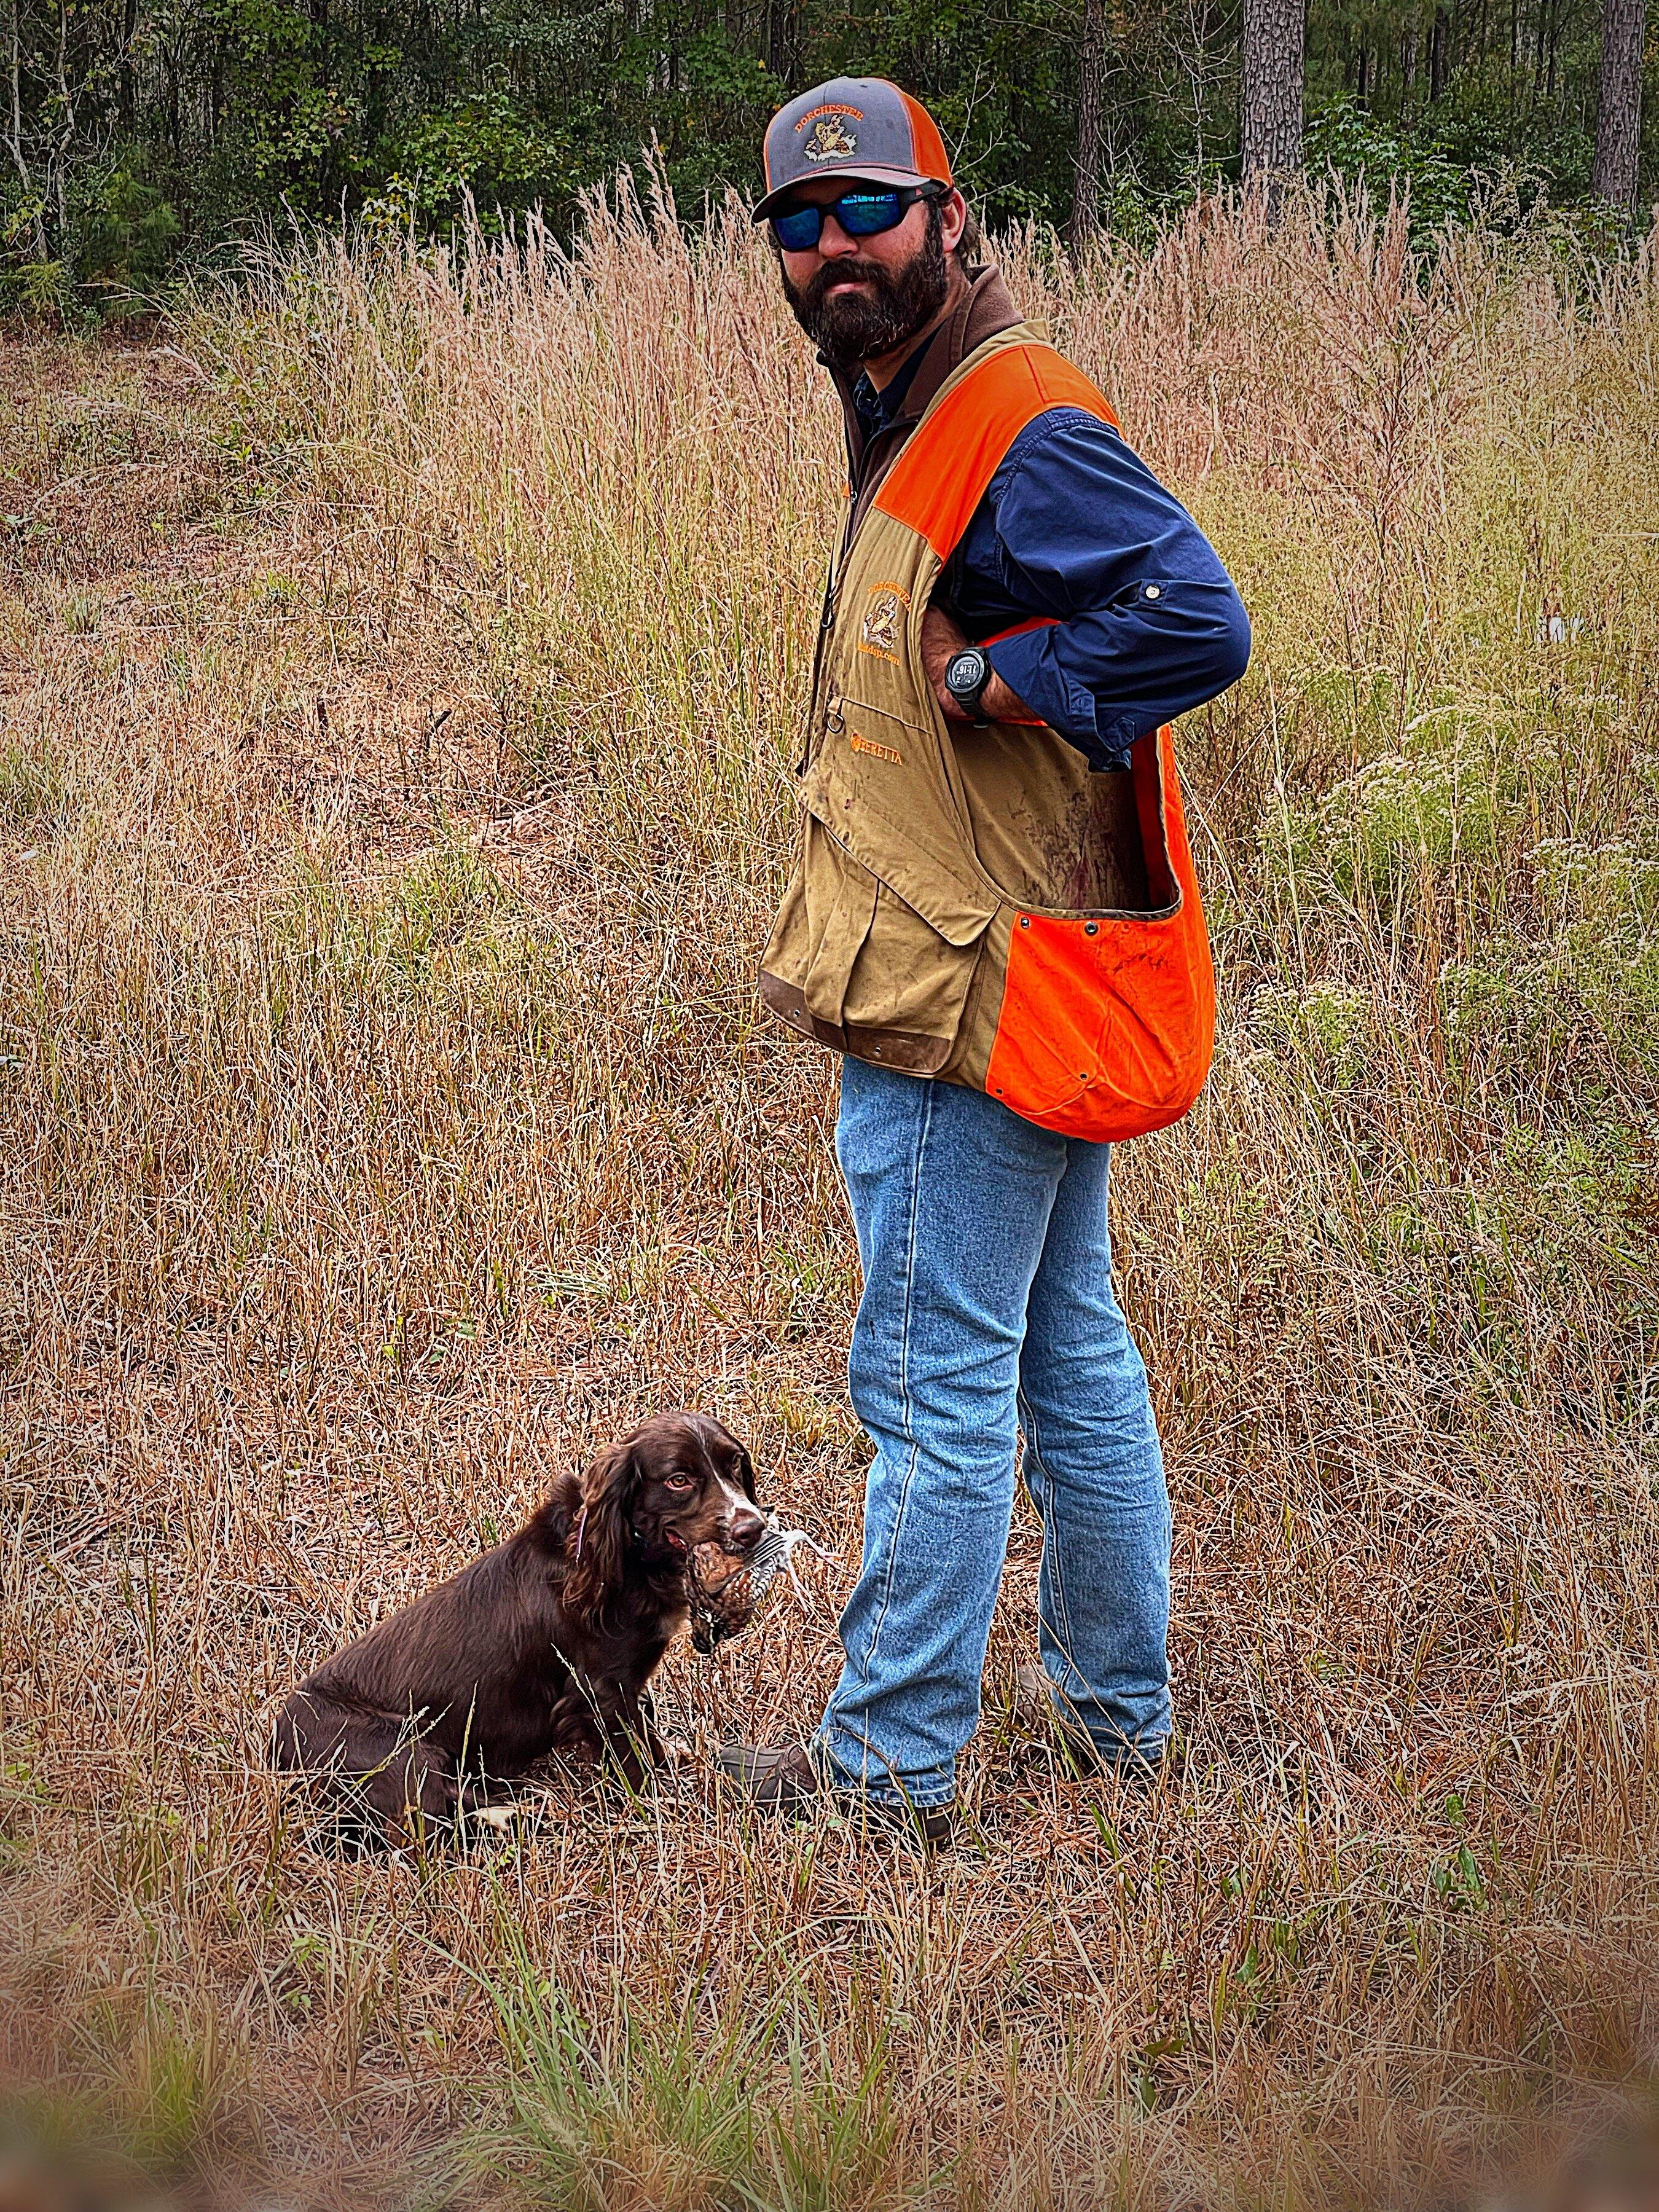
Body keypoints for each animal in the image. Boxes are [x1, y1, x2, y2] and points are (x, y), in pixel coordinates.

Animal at [274, 1406, 765, 1840]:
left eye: (735, 1464)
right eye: (679, 1480)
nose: (753, 1527)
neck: (627, 1559)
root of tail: (274, 1747)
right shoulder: (598, 1693)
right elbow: (633, 1760)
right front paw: (663, 1803)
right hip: (400, 1751)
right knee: (428, 1825)